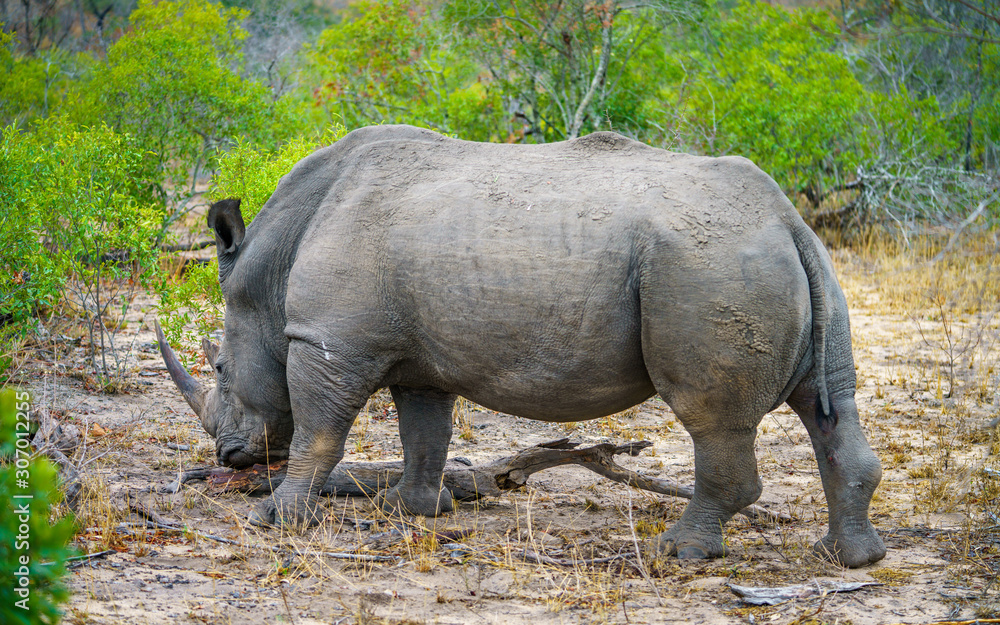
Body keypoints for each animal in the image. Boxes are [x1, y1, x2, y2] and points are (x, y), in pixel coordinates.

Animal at [157, 125, 886, 567]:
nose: (230, 456)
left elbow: (318, 431)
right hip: (786, 262)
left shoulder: (328, 339)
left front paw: (275, 517)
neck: (269, 269)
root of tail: (786, 216)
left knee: (711, 418)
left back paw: (679, 552)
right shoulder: (419, 354)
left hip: (709, 265)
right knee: (826, 403)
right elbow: (425, 430)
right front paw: (415, 509)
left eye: (219, 366)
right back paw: (850, 557)